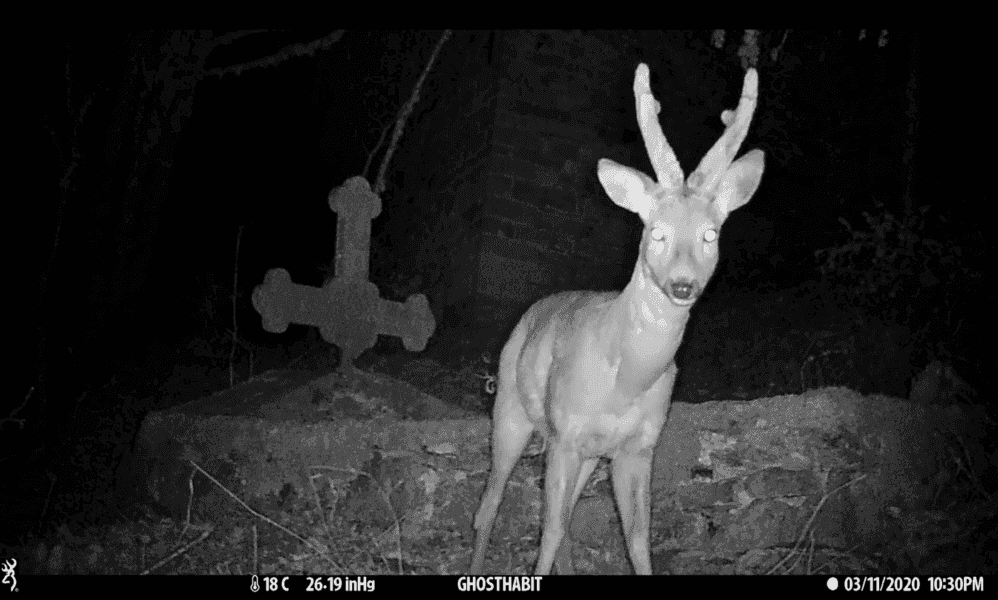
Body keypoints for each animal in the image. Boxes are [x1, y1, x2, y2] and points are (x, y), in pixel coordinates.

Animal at [468, 63, 764, 575]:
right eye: (656, 231)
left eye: (710, 234)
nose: (683, 285)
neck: (624, 378)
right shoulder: (566, 433)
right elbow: (548, 532)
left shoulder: (638, 447)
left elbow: (637, 539)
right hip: (510, 408)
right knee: (490, 507)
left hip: (582, 452)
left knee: (564, 524)